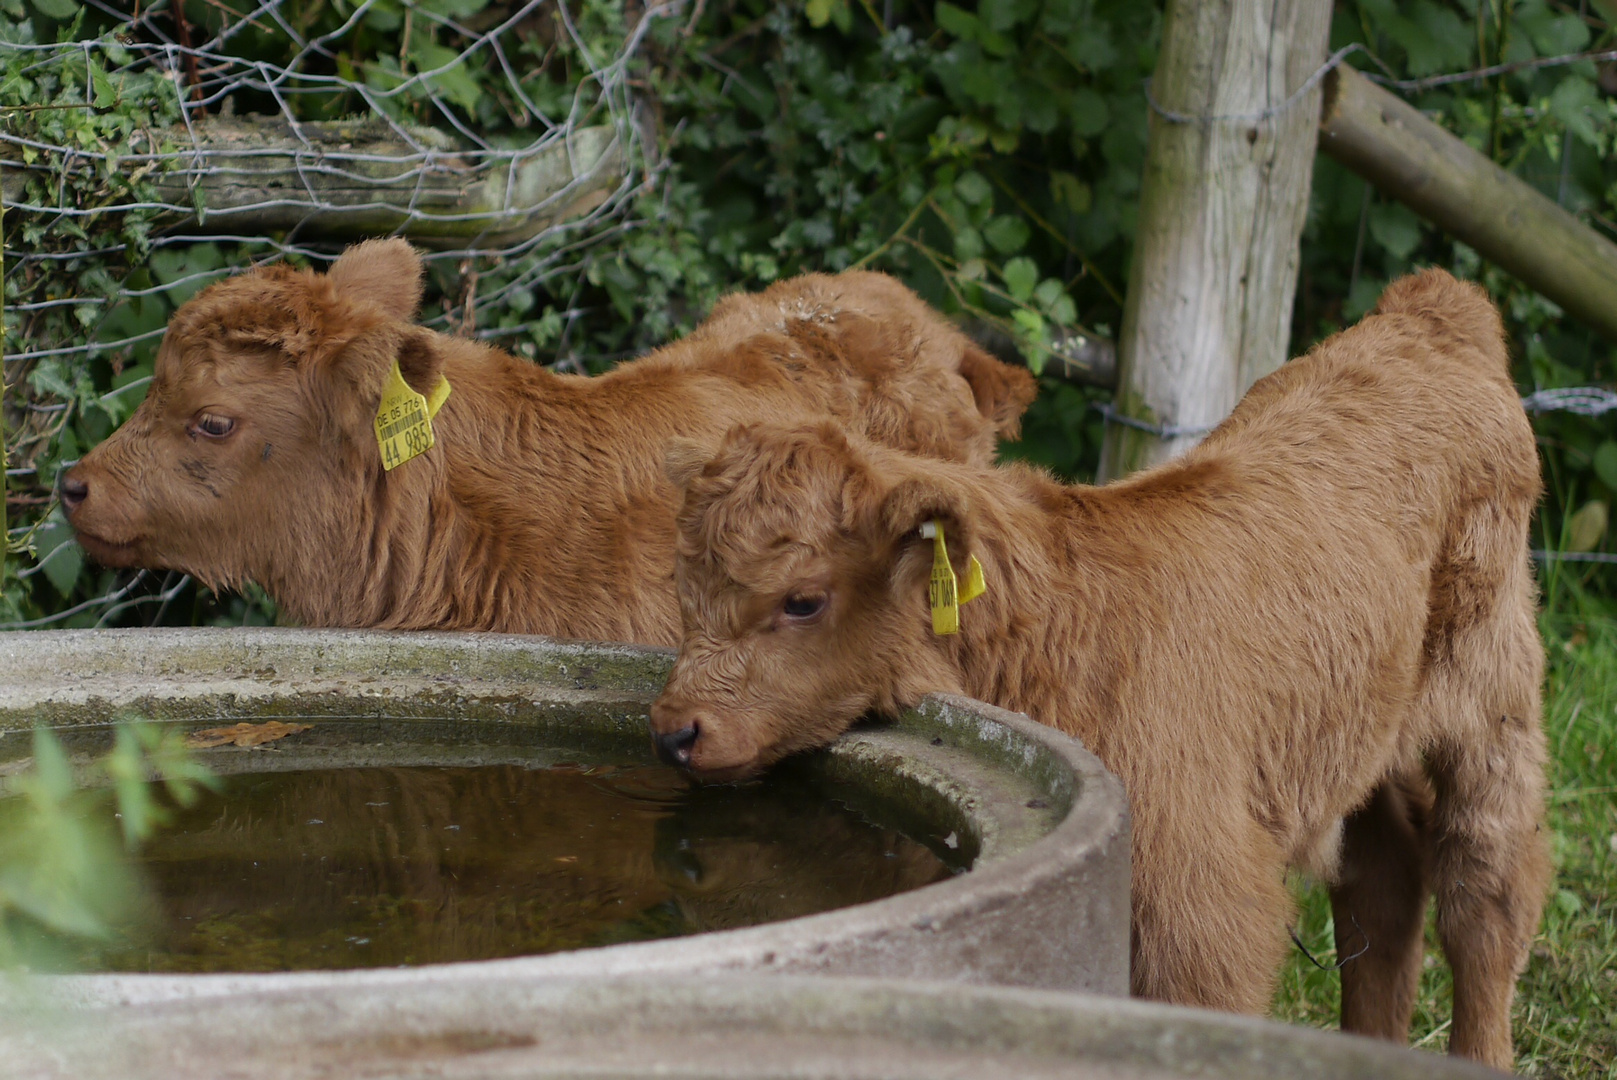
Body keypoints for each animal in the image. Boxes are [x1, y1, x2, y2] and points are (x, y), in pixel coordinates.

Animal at [653, 270, 1552, 1073]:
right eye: (683, 587)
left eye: (802, 600)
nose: (673, 731)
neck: (1063, 634)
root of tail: (1425, 310)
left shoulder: (1201, 913)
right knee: (1383, 884)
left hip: (1492, 699)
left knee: (1485, 892)